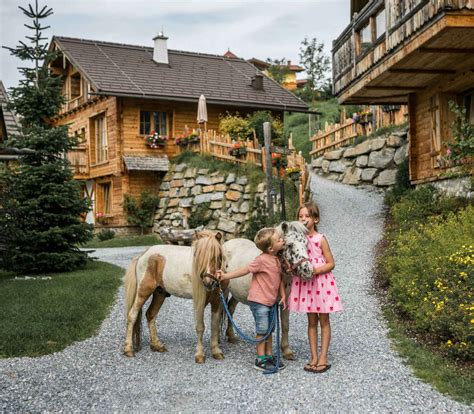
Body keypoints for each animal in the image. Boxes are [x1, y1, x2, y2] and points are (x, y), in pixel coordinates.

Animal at [123, 230, 225, 362]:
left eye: (217, 256)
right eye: (199, 257)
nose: (208, 283)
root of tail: (143, 255)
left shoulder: (217, 302)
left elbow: (215, 326)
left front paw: (216, 351)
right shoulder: (199, 302)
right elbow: (200, 327)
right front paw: (199, 355)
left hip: (159, 294)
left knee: (150, 315)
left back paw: (157, 345)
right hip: (143, 292)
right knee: (132, 315)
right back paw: (128, 349)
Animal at [221, 222, 312, 360]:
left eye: (306, 244)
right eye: (290, 245)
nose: (308, 270)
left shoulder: (284, 303)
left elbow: (285, 325)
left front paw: (286, 351)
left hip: (237, 294)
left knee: (230, 308)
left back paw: (231, 336)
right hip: (225, 290)